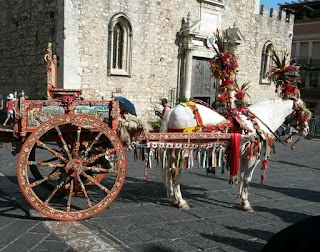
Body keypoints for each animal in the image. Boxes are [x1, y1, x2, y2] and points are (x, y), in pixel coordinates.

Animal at [160, 98, 310, 211]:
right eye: (303, 113)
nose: (307, 130)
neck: (257, 123)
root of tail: (172, 110)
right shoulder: (253, 157)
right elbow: (247, 178)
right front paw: (246, 203)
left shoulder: (244, 156)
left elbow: (242, 176)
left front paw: (240, 199)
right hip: (183, 149)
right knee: (176, 171)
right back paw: (181, 201)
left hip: (173, 149)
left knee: (169, 169)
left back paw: (173, 197)